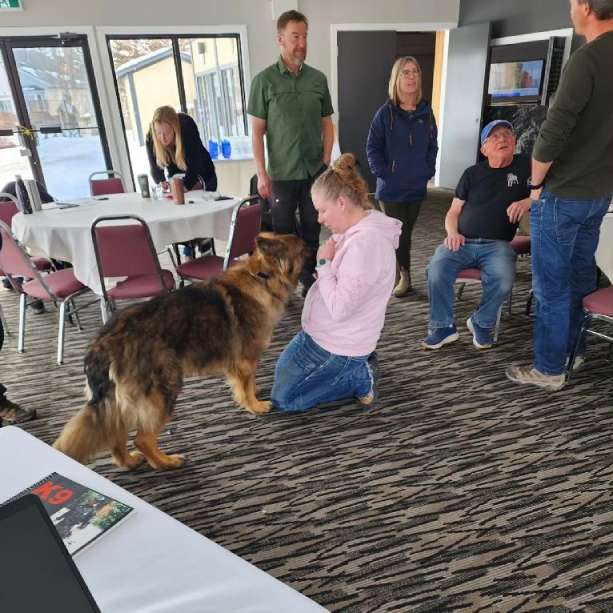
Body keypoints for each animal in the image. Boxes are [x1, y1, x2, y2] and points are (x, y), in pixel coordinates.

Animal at [55, 233, 306, 468]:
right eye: (302, 248)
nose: (313, 246)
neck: (262, 277)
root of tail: (103, 344)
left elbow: (247, 382)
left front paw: (254, 392)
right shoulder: (245, 358)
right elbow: (245, 386)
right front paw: (254, 405)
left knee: (115, 433)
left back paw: (129, 462)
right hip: (166, 388)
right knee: (142, 438)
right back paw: (165, 462)